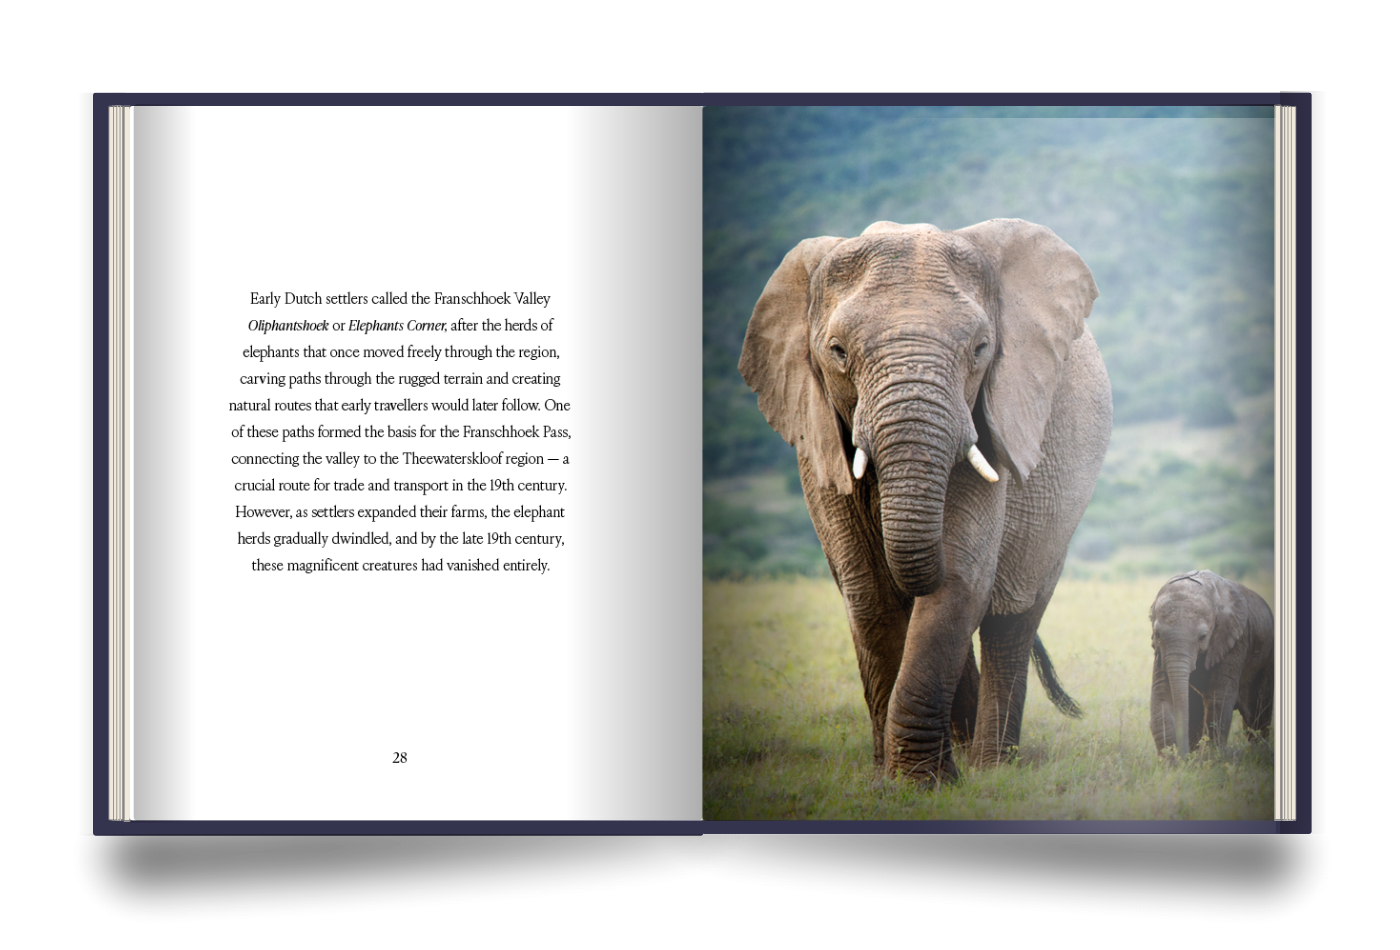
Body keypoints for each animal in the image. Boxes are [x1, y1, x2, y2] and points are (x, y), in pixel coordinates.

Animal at [739, 218, 1112, 785]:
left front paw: (921, 783)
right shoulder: (816, 434)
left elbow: (959, 579)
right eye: (837, 352)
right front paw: (892, 779)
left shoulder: (992, 419)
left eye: (981, 349)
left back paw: (991, 768)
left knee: (1010, 620)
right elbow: (869, 590)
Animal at [1149, 570, 1274, 756]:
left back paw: (1259, 753)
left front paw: (1212, 759)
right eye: (1157, 634)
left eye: (1203, 637)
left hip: (1267, 658)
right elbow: (1162, 696)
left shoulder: (1235, 641)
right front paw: (1174, 761)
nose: (1184, 756)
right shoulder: (1160, 653)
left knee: (1258, 715)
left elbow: (1219, 697)